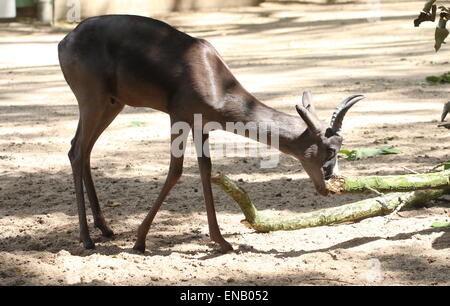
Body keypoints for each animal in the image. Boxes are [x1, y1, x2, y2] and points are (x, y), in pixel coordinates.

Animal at [58, 14, 364, 252]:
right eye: (330, 149)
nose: (328, 184)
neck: (212, 79)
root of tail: (67, 39)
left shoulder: (202, 126)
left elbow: (206, 170)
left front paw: (222, 241)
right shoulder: (179, 118)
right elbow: (176, 172)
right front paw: (140, 241)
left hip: (112, 104)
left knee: (84, 149)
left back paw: (105, 229)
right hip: (92, 101)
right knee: (76, 151)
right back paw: (87, 239)